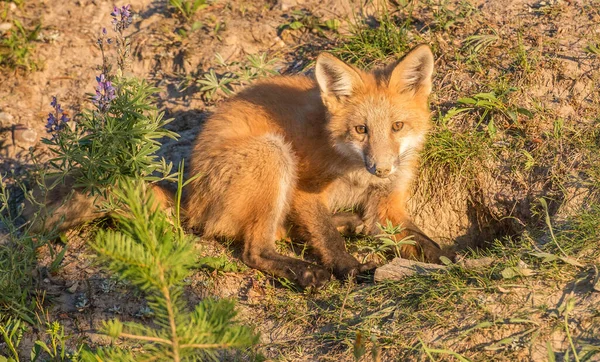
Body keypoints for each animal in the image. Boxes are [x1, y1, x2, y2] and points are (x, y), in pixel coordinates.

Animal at [27, 45, 450, 288]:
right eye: (361, 129)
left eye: (397, 127)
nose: (382, 168)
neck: (354, 172)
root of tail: (189, 199)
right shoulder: (304, 190)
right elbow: (327, 236)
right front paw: (347, 266)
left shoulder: (387, 204)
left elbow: (419, 237)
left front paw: (447, 258)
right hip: (273, 155)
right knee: (254, 249)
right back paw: (308, 272)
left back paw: (347, 226)